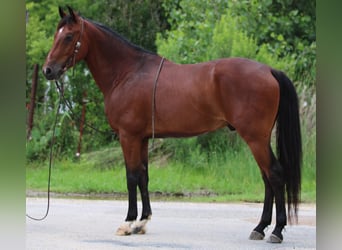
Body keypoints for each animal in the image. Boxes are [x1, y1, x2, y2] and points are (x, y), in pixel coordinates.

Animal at [42, 6, 302, 244]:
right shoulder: (142, 138)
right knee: (267, 178)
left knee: (275, 175)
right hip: (259, 139)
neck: (127, 73)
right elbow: (144, 177)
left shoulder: (128, 137)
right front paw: (142, 222)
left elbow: (131, 177)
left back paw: (276, 230)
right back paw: (260, 228)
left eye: (68, 37)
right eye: (56, 35)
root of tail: (269, 70)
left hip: (256, 138)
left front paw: (128, 222)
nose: (48, 70)